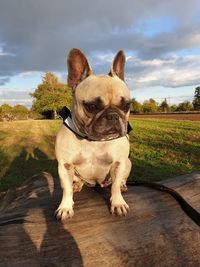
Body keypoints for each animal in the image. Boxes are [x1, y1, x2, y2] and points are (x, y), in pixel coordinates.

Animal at [55, 48, 132, 222]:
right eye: (92, 106)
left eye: (126, 105)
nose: (113, 116)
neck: (93, 141)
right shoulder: (64, 165)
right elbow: (66, 189)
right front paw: (65, 207)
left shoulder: (119, 163)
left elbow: (115, 187)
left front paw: (118, 203)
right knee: (76, 182)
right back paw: (77, 185)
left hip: (128, 163)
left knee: (119, 181)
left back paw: (122, 185)